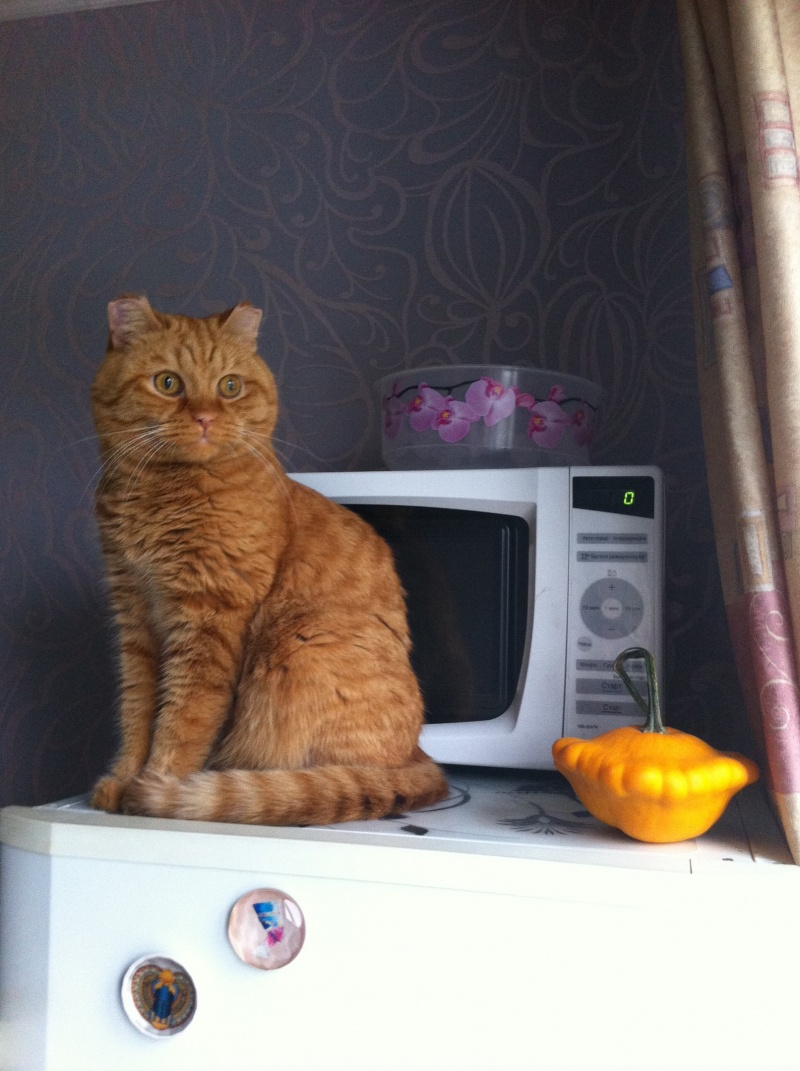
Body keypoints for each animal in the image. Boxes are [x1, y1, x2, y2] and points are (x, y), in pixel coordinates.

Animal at [89, 295, 449, 825]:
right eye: (168, 383)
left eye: (230, 387)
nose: (205, 418)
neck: (163, 497)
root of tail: (419, 754)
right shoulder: (134, 621)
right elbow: (137, 713)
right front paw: (121, 780)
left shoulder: (209, 621)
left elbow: (182, 720)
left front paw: (155, 786)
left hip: (300, 647)